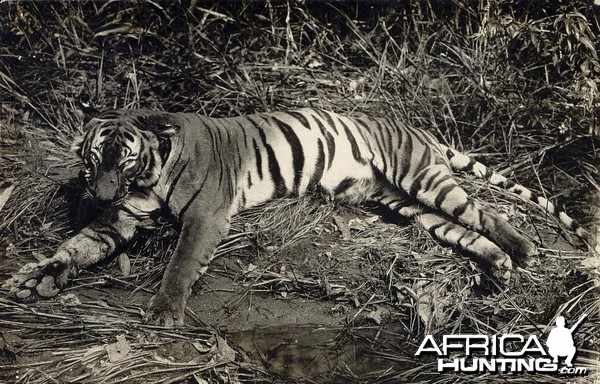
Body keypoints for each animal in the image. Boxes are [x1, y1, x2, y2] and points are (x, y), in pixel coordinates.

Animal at [3, 109, 584, 328]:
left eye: (122, 160)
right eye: (91, 159)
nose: (97, 192)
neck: (149, 174)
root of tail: (418, 129)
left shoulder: (207, 218)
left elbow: (179, 266)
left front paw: (165, 313)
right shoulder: (118, 220)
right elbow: (74, 248)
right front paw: (35, 280)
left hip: (421, 178)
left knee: (484, 210)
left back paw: (522, 251)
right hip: (404, 204)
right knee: (464, 229)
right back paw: (498, 267)